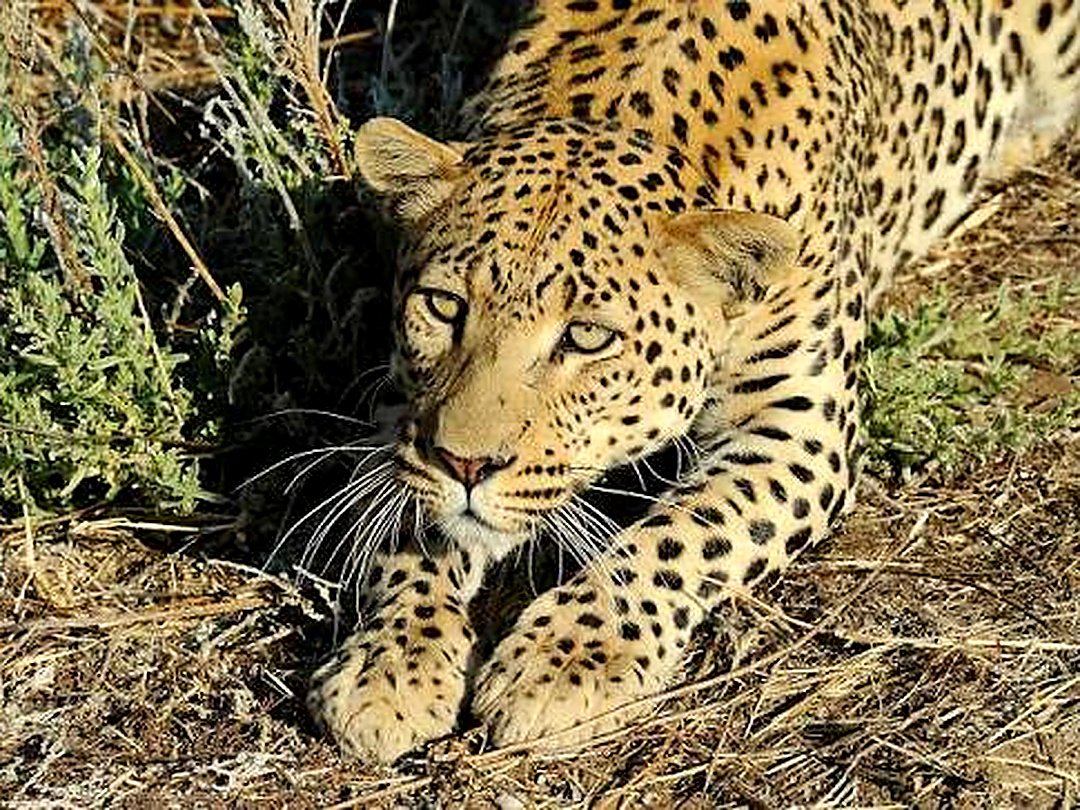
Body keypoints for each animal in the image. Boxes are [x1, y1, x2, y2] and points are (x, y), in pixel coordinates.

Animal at [307, 0, 1080, 764]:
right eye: (444, 306)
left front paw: (566, 660)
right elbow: (412, 529)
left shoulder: (800, 423)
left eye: (587, 337)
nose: (466, 464)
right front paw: (389, 667)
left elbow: (680, 534)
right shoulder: (402, 400)